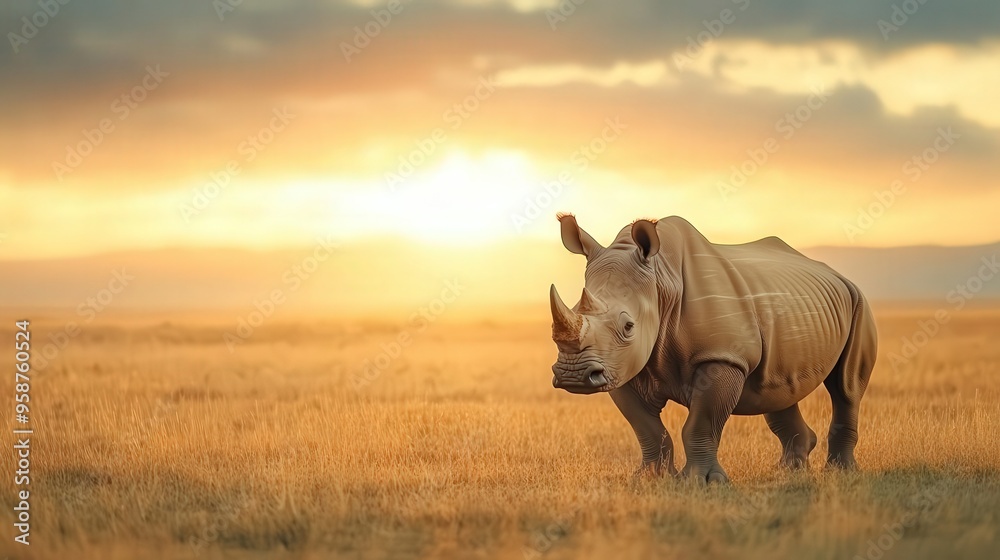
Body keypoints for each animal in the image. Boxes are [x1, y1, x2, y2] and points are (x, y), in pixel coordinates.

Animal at [549, 214, 877, 482]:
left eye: (628, 326)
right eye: (575, 309)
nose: (573, 375)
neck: (661, 282)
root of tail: (837, 275)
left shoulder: (722, 357)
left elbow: (701, 422)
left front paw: (701, 482)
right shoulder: (621, 364)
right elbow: (646, 427)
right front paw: (650, 478)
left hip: (858, 301)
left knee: (846, 388)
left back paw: (840, 472)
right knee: (779, 389)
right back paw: (788, 472)